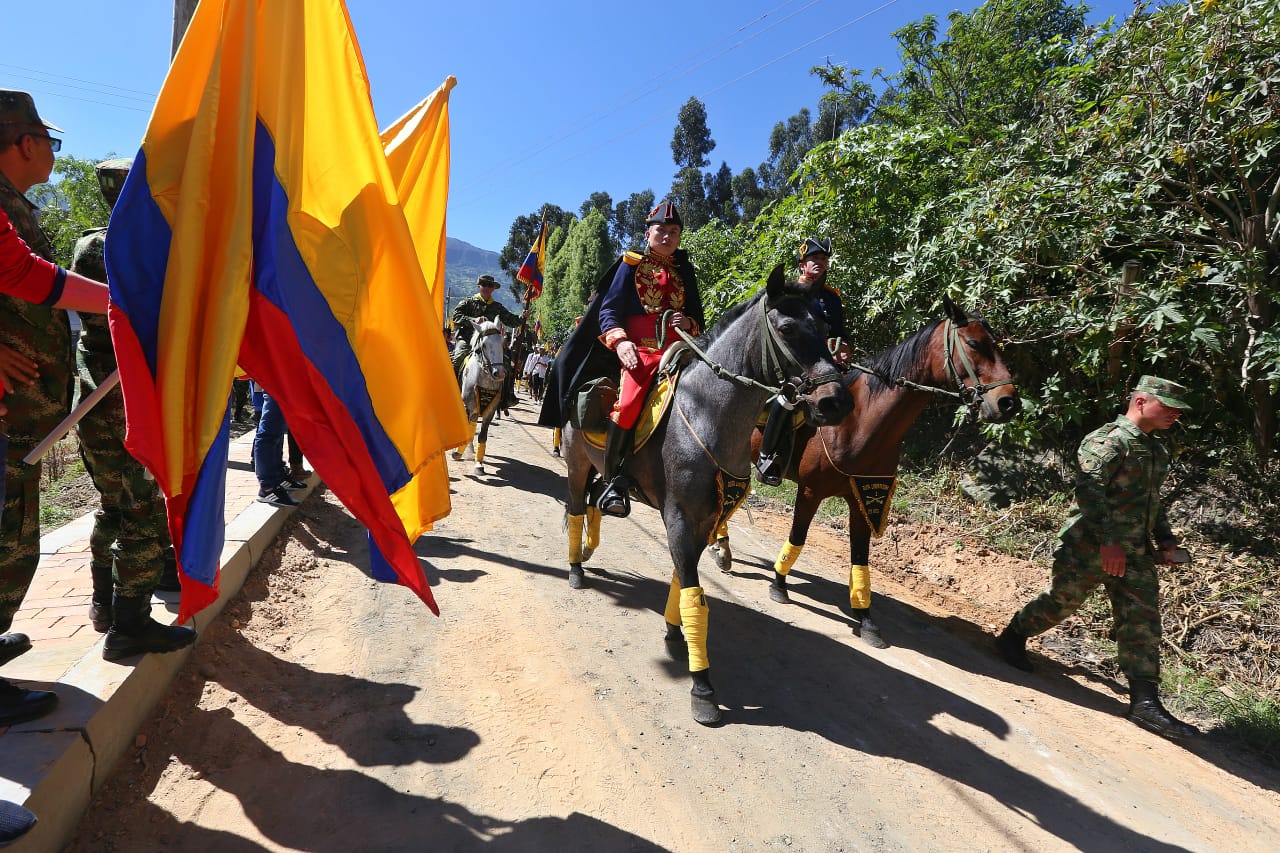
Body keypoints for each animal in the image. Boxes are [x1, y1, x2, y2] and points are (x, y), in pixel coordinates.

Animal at [455, 322, 504, 473]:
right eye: (484, 345)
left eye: (503, 343)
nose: (499, 373)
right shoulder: (467, 406)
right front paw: (457, 453)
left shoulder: (490, 411)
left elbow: (482, 436)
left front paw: (479, 464)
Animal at [558, 267, 849, 722]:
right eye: (786, 328)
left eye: (823, 328)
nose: (836, 401)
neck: (706, 414)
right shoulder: (679, 516)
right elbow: (696, 596)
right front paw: (702, 687)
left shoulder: (705, 519)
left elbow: (683, 578)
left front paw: (674, 633)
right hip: (576, 465)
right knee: (574, 510)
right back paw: (575, 568)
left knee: (593, 506)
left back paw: (590, 546)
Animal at [721, 294, 1018, 645]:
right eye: (973, 343)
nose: (1008, 402)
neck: (859, 424)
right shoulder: (811, 490)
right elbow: (798, 537)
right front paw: (779, 585)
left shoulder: (863, 498)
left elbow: (860, 559)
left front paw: (865, 618)